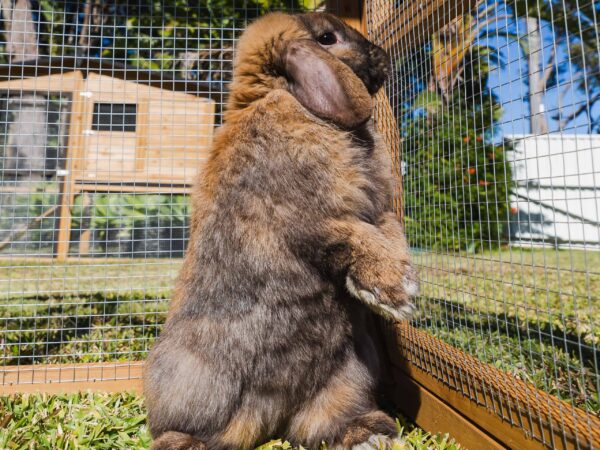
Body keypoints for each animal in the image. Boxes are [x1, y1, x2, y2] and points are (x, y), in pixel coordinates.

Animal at [144, 11, 420, 450]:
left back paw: (369, 434)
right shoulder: (314, 220)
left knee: (321, 426)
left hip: (349, 377)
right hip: (192, 382)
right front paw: (396, 294)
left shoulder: (378, 213)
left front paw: (391, 295)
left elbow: (389, 237)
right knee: (181, 429)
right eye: (327, 38)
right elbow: (355, 239)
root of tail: (270, 413)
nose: (383, 56)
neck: (291, 100)